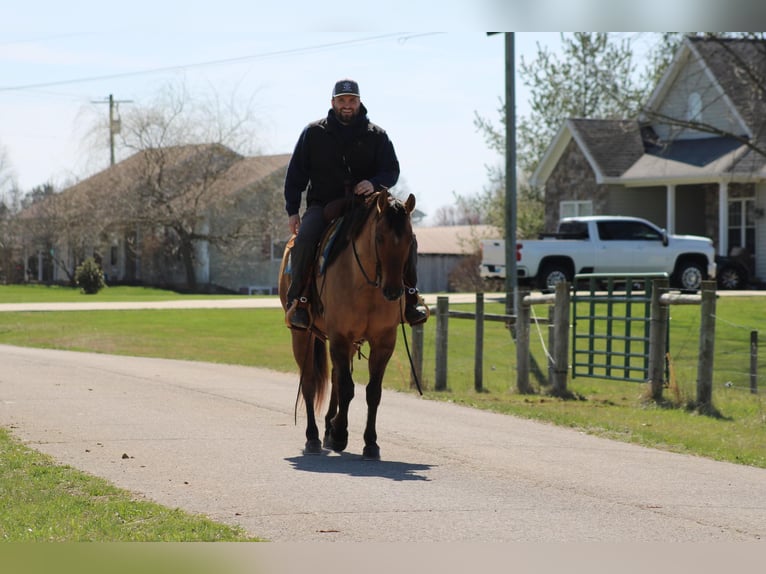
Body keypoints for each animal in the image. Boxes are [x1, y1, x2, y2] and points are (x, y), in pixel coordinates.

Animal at [280, 191, 416, 462]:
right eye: (379, 237)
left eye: (409, 238)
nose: (394, 291)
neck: (367, 284)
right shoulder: (340, 337)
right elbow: (347, 388)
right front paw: (341, 434)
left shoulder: (383, 341)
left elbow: (372, 391)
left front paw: (370, 442)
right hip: (302, 336)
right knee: (310, 383)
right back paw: (313, 437)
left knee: (333, 376)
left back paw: (328, 429)